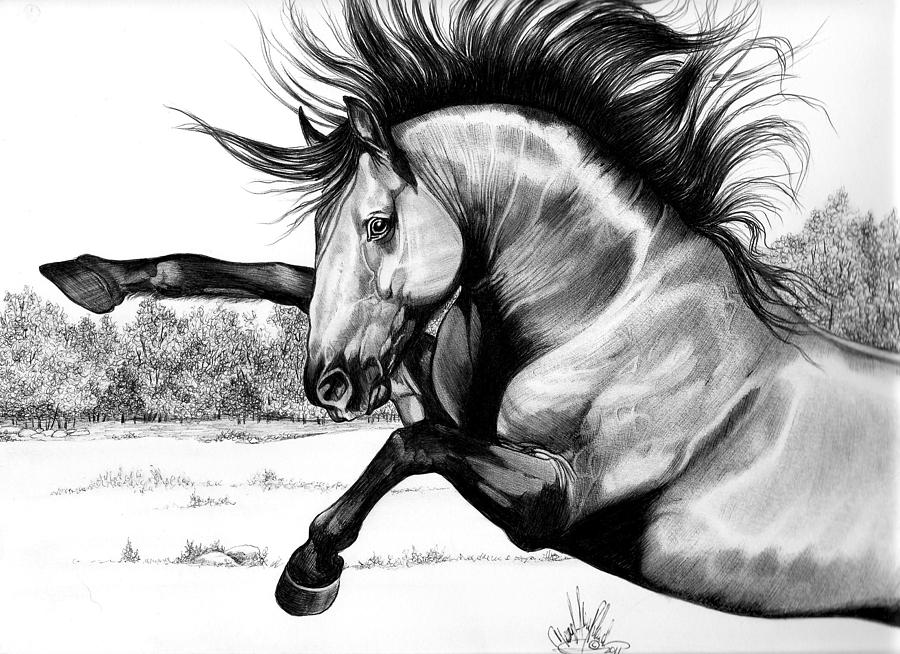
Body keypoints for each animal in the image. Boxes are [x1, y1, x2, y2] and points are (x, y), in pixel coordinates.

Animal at [41, 0, 899, 625]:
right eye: (322, 226)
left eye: (377, 224)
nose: (327, 385)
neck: (607, 314)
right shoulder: (416, 361)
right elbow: (280, 281)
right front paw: (89, 277)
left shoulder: (553, 506)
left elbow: (410, 442)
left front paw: (311, 571)